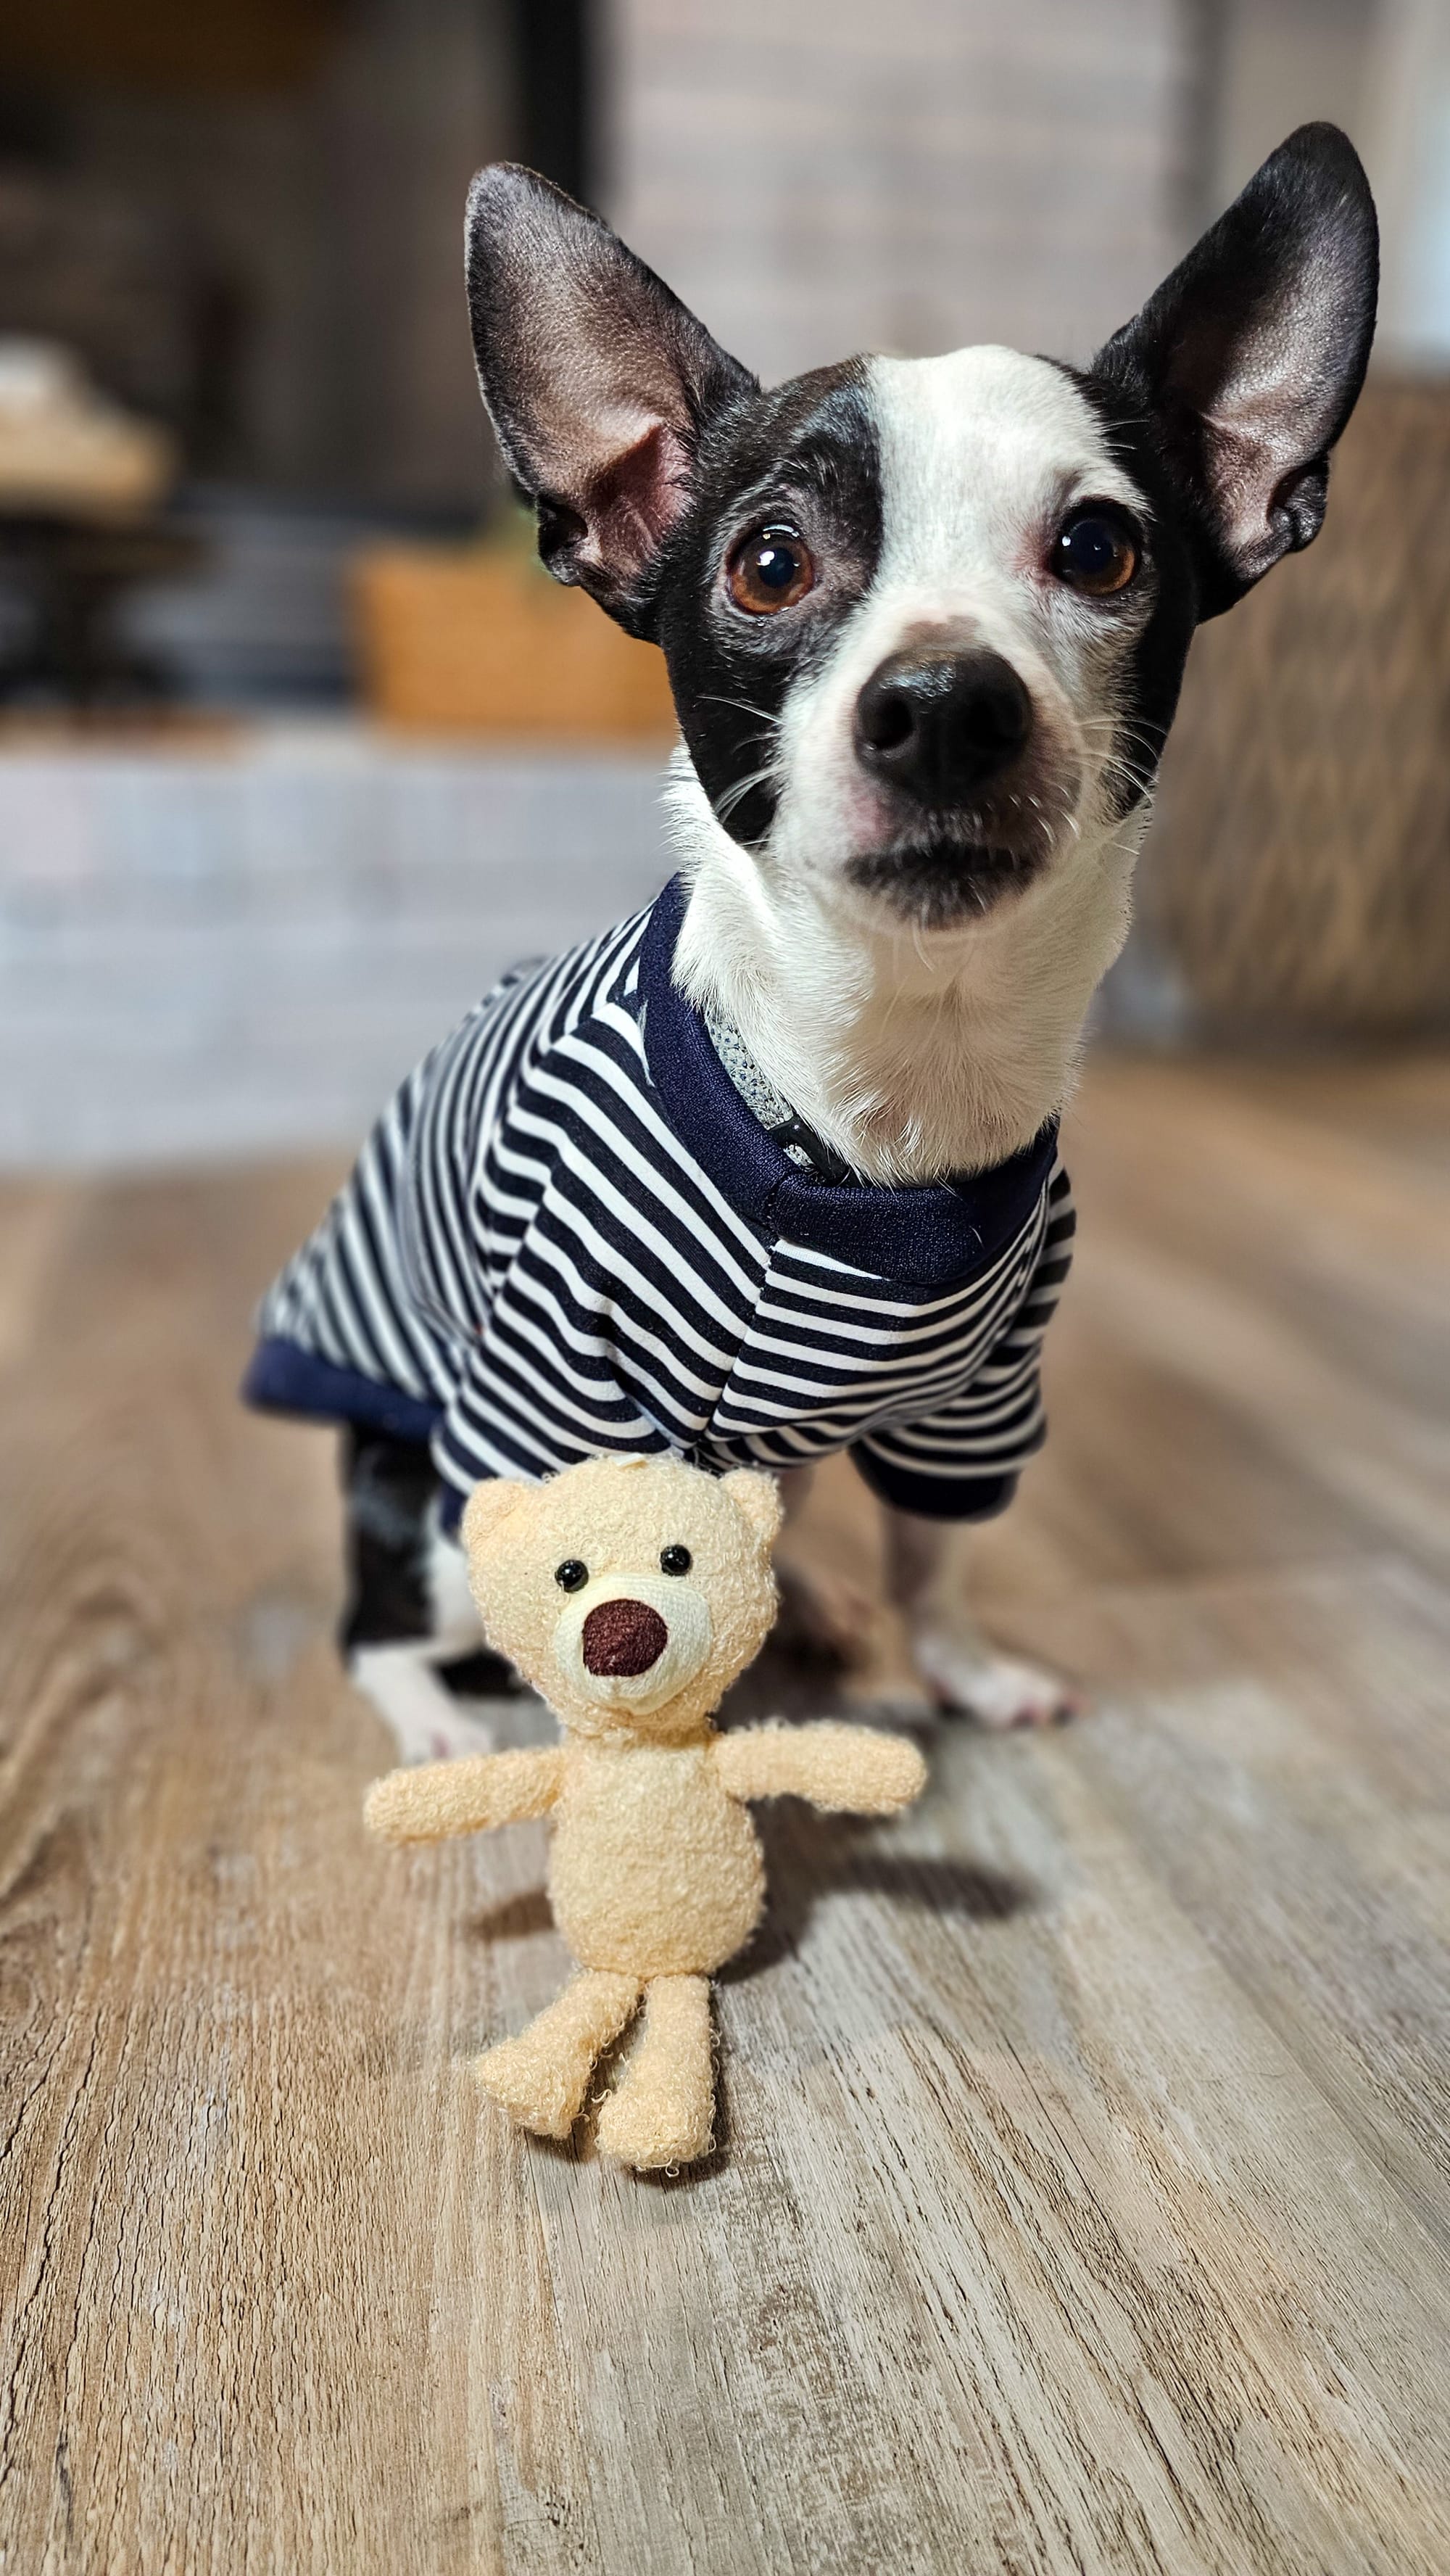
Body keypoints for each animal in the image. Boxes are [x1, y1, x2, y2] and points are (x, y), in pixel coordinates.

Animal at [243, 131, 1380, 1762]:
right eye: (771, 565)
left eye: (1100, 549)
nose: (946, 702)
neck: (884, 1072)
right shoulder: (548, 1390)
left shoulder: (976, 1395)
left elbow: (937, 1554)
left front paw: (957, 1663)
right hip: (428, 1495)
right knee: (386, 1618)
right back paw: (441, 1714)